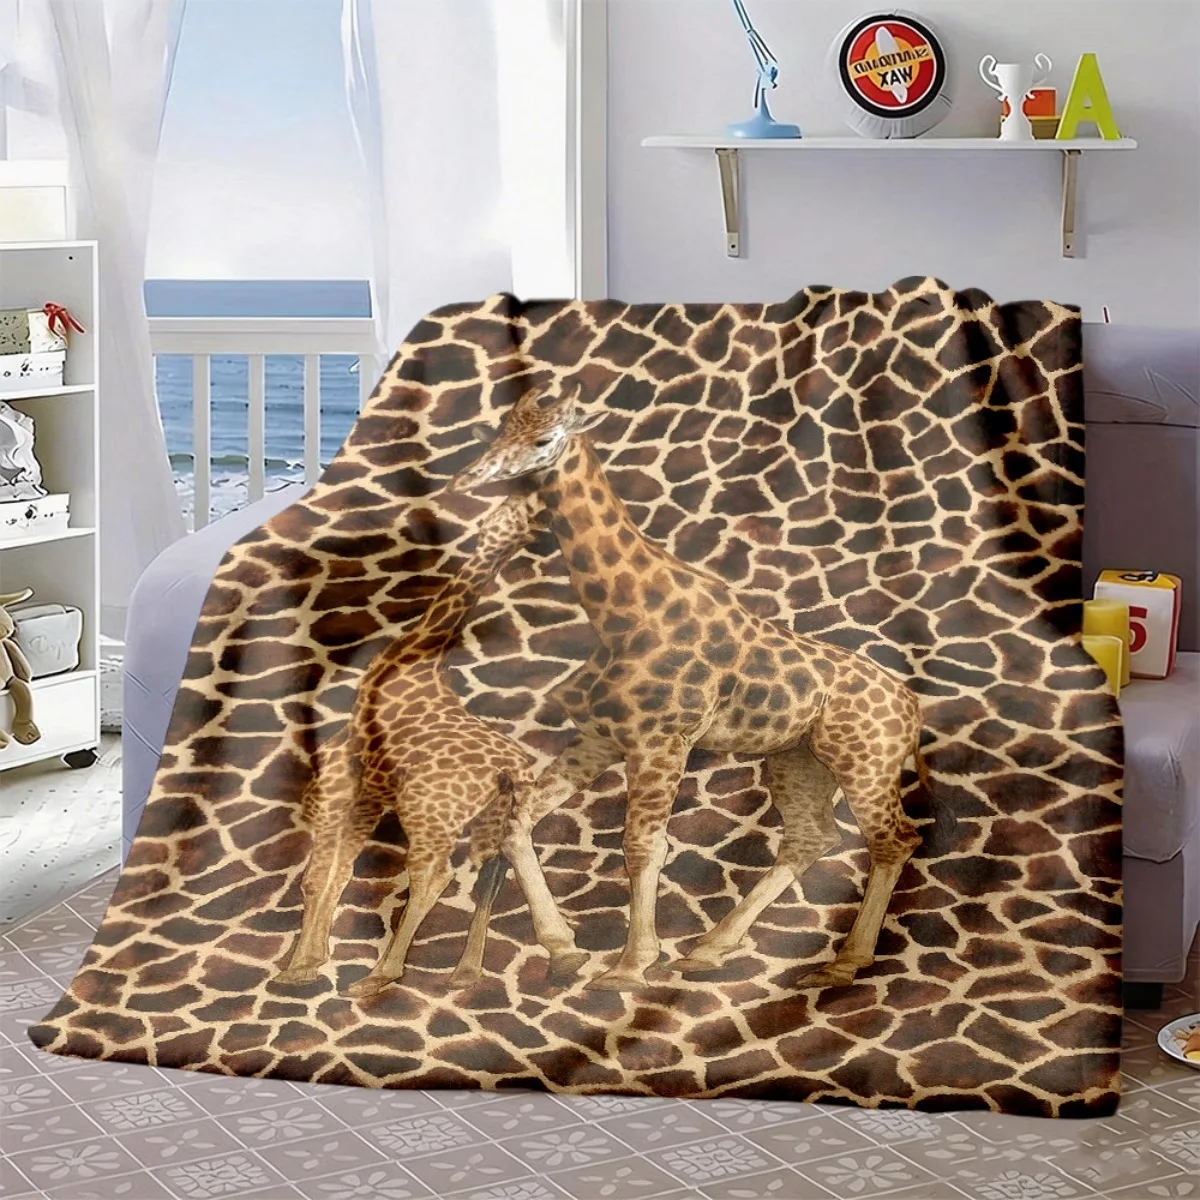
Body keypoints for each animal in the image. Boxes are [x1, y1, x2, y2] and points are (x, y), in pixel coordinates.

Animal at [273, 491, 542, 998]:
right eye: (506, 516)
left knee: (433, 876)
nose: (486, 529)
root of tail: (511, 770)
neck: (419, 654)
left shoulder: (347, 773)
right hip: (499, 819)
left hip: (429, 815)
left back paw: (379, 975)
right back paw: (465, 972)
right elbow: (336, 872)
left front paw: (299, 967)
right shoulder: (368, 789)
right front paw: (309, 962)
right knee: (494, 872)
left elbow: (319, 875)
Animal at [447, 382, 925, 992]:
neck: (620, 614)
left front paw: (629, 966)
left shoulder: (661, 741)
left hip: (865, 762)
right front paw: (564, 951)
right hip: (797, 759)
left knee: (894, 838)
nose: (469, 479)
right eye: (503, 428)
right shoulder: (601, 737)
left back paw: (842, 962)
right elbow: (518, 821)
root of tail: (912, 706)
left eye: (544, 439)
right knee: (811, 837)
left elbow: (642, 845)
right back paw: (710, 949)